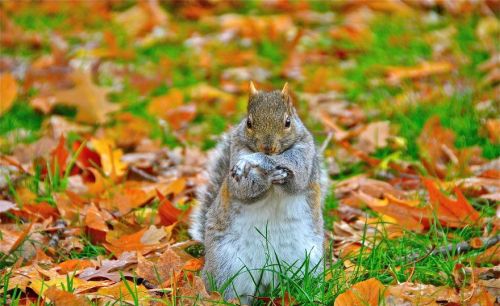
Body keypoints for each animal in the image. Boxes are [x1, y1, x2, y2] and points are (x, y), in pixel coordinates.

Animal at [189, 82, 326, 304]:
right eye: (249, 123)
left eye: (288, 122)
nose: (267, 147)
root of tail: (267, 277)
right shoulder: (236, 155)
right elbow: (244, 189)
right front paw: (260, 169)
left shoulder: (305, 156)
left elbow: (297, 177)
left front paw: (258, 160)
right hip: (228, 268)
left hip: (307, 264)